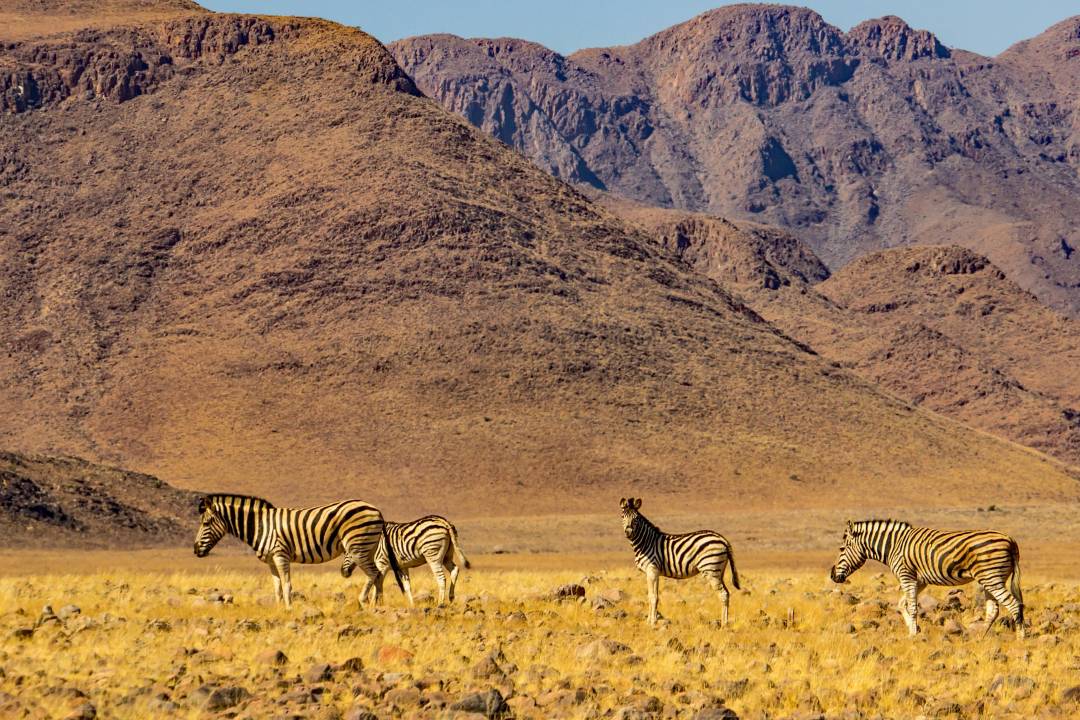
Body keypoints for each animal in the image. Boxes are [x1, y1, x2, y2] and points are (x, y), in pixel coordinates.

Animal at [193, 493, 404, 609]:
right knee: (379, 575)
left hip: (358, 547)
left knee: (374, 573)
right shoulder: (270, 560)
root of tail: (376, 510)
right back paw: (378, 604)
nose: (195, 550)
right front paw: (279, 608)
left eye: (206, 523)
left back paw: (364, 601)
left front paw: (288, 609)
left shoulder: (280, 554)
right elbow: (277, 587)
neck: (261, 525)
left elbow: (287, 585)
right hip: (369, 547)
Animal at [619, 497, 740, 626]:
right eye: (622, 516)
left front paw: (652, 622)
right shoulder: (654, 572)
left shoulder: (652, 570)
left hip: (711, 569)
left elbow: (653, 597)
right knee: (727, 593)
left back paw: (724, 624)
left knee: (723, 594)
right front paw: (649, 621)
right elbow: (652, 596)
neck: (646, 542)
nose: (628, 532)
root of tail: (722, 539)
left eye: (636, 518)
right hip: (719, 571)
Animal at [829, 519, 1024, 638]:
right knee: (994, 610)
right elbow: (902, 604)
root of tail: (1010, 539)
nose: (832, 576)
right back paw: (980, 638)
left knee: (1014, 605)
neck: (894, 545)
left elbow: (912, 607)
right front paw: (912, 630)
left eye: (841, 549)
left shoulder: (906, 575)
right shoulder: (919, 580)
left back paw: (1020, 638)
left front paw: (914, 634)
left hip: (991, 577)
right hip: (990, 579)